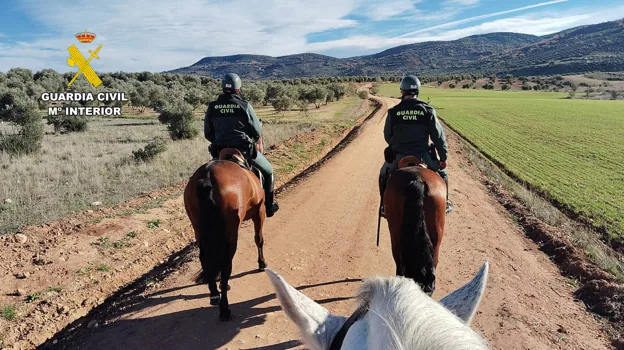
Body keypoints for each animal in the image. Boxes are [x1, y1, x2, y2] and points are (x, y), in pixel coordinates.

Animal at [183, 135, 266, 322]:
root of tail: (208, 177)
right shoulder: (260, 211)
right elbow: (259, 239)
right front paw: (262, 264)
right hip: (230, 232)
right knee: (226, 263)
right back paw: (224, 307)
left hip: (198, 228)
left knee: (205, 258)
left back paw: (215, 293)